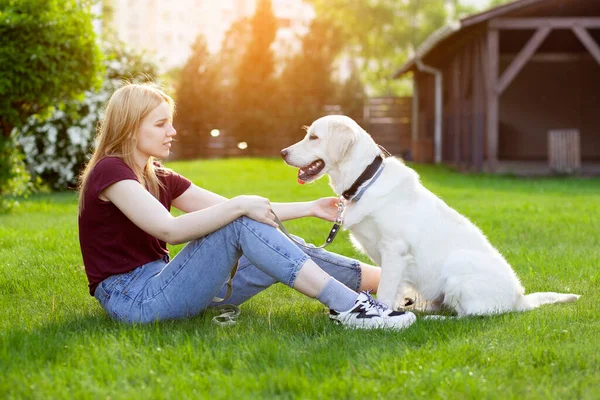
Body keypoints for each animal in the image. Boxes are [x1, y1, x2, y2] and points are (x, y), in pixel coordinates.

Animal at [282, 115, 580, 316]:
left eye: (314, 137)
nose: (283, 152)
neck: (365, 180)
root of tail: (520, 299)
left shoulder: (394, 250)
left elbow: (386, 289)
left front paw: (382, 314)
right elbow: (394, 288)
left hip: (458, 266)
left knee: (466, 315)